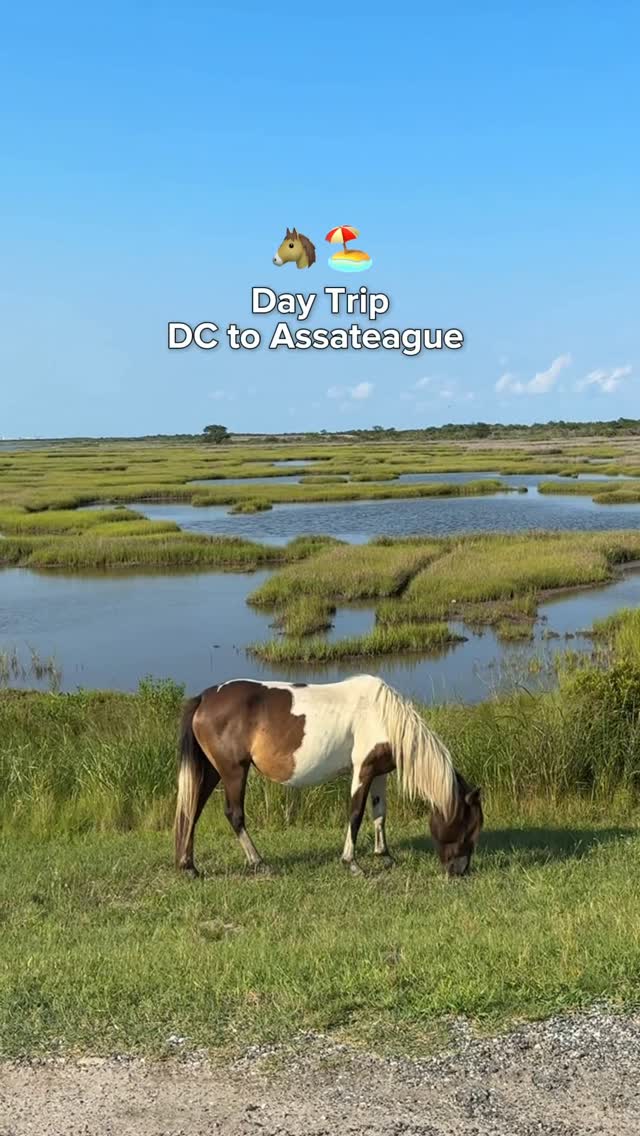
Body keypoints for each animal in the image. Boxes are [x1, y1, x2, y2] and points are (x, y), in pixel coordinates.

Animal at [174, 675, 483, 878]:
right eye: (468, 827)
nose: (459, 871)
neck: (383, 716)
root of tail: (205, 698)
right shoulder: (363, 769)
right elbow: (356, 814)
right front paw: (352, 863)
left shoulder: (379, 773)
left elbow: (379, 814)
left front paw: (384, 855)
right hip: (234, 770)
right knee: (234, 814)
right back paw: (259, 862)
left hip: (213, 770)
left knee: (192, 810)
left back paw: (189, 866)